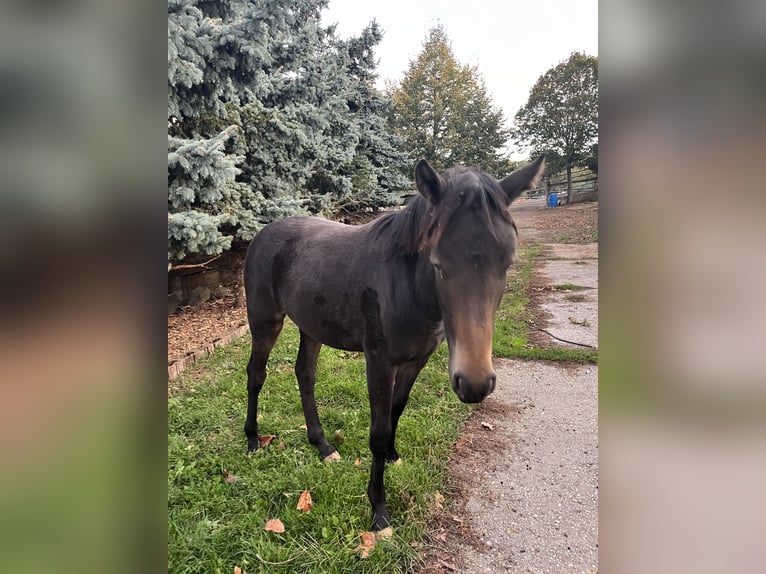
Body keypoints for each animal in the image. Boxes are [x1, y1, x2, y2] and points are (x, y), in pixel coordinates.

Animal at [244, 156, 544, 536]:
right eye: (437, 264)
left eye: (508, 262)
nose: (475, 383)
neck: (405, 287)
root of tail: (261, 234)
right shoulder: (379, 362)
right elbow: (379, 430)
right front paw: (379, 511)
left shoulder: (416, 360)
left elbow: (396, 410)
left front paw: (392, 456)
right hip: (265, 323)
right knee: (256, 374)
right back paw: (252, 440)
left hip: (311, 327)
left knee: (305, 375)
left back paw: (323, 445)